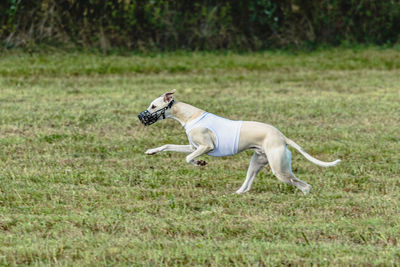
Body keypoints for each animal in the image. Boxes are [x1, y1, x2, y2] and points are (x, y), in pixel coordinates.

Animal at [138, 90, 340, 195]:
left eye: (153, 106)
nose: (140, 117)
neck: (190, 116)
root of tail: (282, 137)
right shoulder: (193, 146)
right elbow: (168, 146)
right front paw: (151, 151)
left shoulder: (206, 146)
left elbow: (188, 158)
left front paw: (199, 162)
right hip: (258, 161)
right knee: (247, 184)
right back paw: (236, 194)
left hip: (279, 169)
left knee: (304, 185)